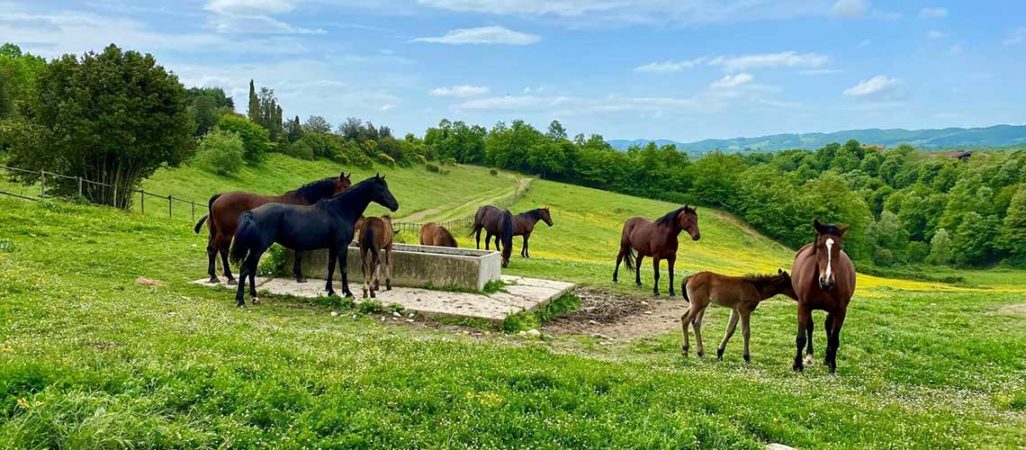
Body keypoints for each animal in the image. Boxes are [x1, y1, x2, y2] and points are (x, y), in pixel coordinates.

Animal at [192, 173, 352, 282]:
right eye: (344, 186)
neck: (303, 200)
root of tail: (220, 195)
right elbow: (299, 254)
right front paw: (299, 275)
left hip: (218, 232)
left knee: (213, 249)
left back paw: (216, 275)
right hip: (226, 232)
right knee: (221, 251)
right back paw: (227, 277)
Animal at [230, 174, 398, 307]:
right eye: (381, 188)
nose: (395, 205)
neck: (340, 210)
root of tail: (251, 213)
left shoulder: (332, 247)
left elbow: (331, 268)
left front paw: (330, 291)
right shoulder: (341, 246)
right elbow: (343, 269)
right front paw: (347, 292)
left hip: (256, 249)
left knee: (251, 271)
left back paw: (254, 296)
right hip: (258, 249)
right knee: (245, 269)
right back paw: (241, 300)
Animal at [792, 221, 857, 373]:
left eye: (839, 248)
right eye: (820, 246)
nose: (826, 281)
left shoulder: (840, 310)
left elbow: (834, 339)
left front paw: (832, 365)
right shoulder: (803, 305)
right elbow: (801, 337)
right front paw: (797, 364)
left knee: (828, 327)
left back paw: (827, 358)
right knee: (810, 327)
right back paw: (809, 356)